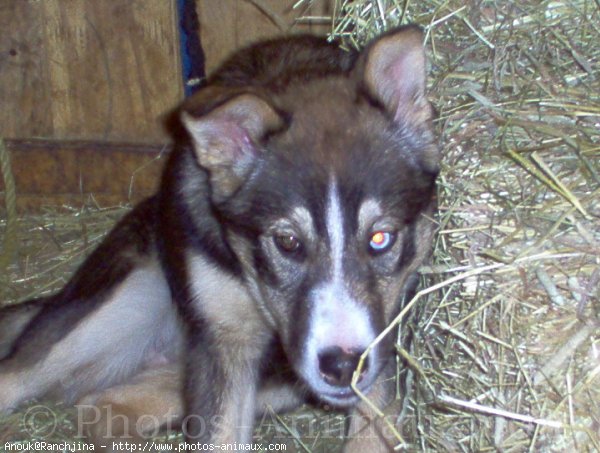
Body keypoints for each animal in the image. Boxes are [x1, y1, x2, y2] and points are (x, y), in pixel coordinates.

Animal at [1, 25, 440, 452]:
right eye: (288, 243)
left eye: (380, 238)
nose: (344, 367)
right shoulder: (224, 340)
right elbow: (219, 436)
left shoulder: (387, 330)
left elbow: (372, 428)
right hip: (115, 309)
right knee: (21, 378)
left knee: (101, 402)